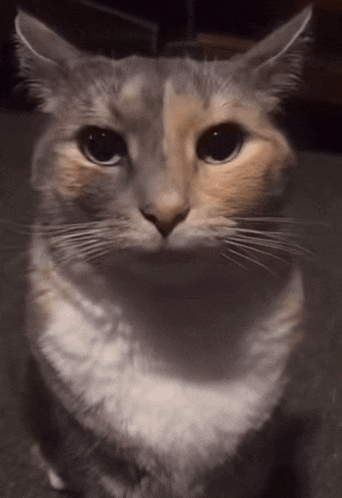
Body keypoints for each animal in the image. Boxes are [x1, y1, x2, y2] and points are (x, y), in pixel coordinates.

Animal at [14, 7, 312, 498]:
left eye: (221, 144)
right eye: (99, 145)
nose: (166, 211)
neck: (176, 326)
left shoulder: (251, 455)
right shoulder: (94, 449)